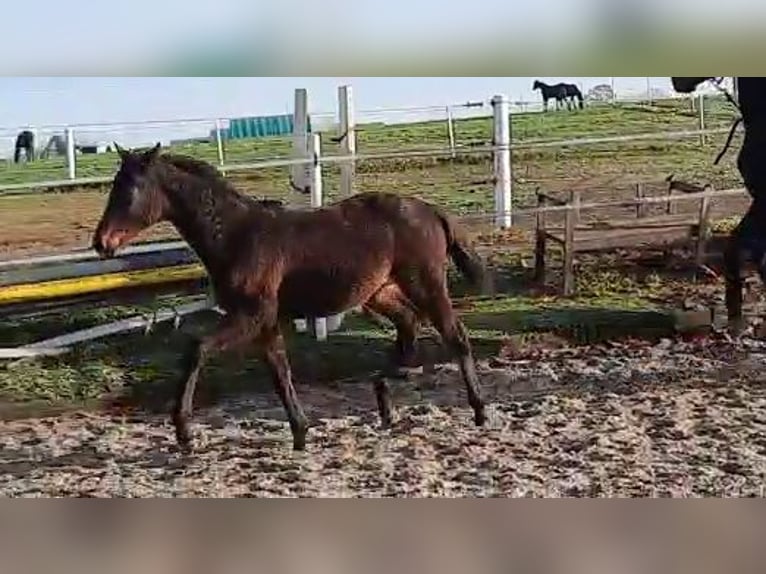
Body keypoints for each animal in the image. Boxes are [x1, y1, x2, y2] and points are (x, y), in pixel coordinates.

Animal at [93, 143, 492, 450]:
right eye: (114, 187)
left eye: (130, 190)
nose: (102, 243)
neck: (238, 236)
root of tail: (432, 210)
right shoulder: (266, 320)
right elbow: (279, 370)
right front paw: (300, 433)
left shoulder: (251, 314)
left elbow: (198, 349)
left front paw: (184, 433)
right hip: (380, 292)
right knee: (409, 328)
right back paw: (384, 400)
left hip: (425, 283)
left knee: (454, 335)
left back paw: (479, 410)